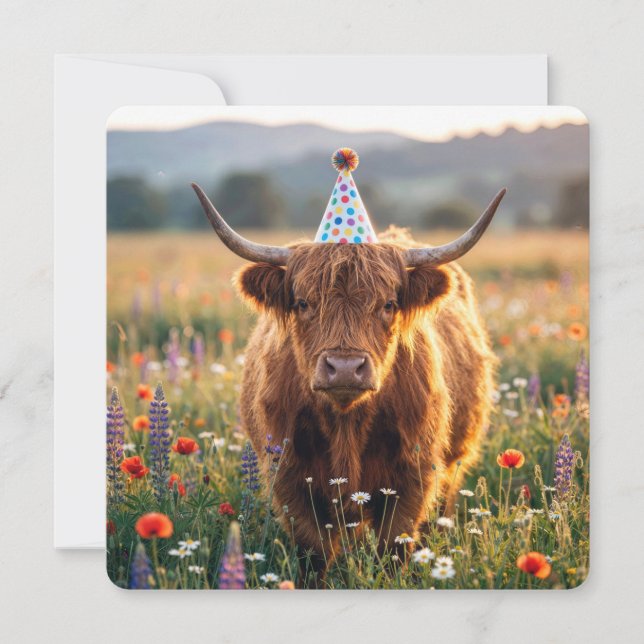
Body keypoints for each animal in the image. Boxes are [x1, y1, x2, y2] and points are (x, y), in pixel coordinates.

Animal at [192, 183, 505, 577]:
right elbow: (314, 553)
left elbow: (393, 547)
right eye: (303, 303)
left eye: (388, 304)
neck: (346, 425)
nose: (344, 367)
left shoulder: (413, 478)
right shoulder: (290, 478)